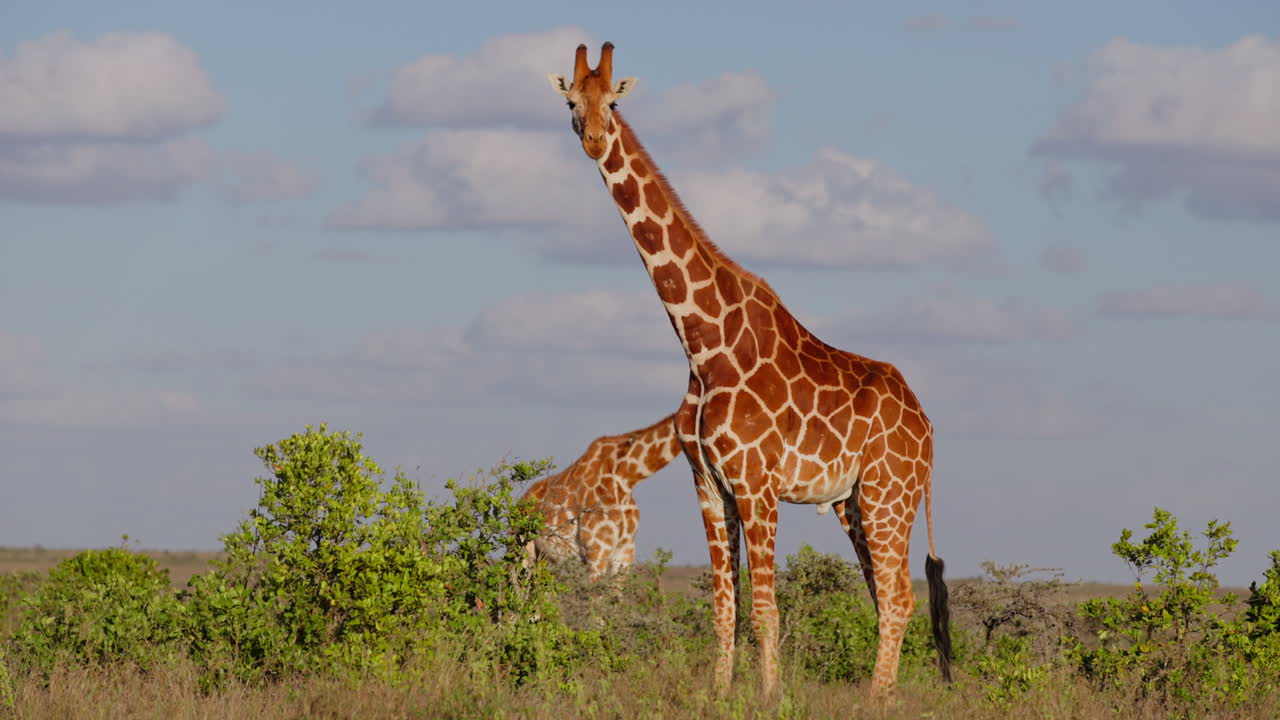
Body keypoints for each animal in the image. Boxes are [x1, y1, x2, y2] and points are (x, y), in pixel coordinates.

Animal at [521, 412, 681, 577]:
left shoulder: (626, 550)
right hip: (524, 548)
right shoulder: (597, 550)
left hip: (546, 558)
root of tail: (522, 499)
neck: (625, 478)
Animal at [547, 43, 952, 696]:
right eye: (570, 103)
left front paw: (771, 696)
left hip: (891, 493)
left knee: (897, 598)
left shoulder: (757, 484)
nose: (594, 138)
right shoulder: (710, 487)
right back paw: (883, 694)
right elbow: (724, 607)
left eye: (614, 103)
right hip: (856, 501)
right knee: (885, 595)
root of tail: (928, 427)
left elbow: (765, 608)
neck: (702, 344)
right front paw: (718, 693)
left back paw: (875, 699)